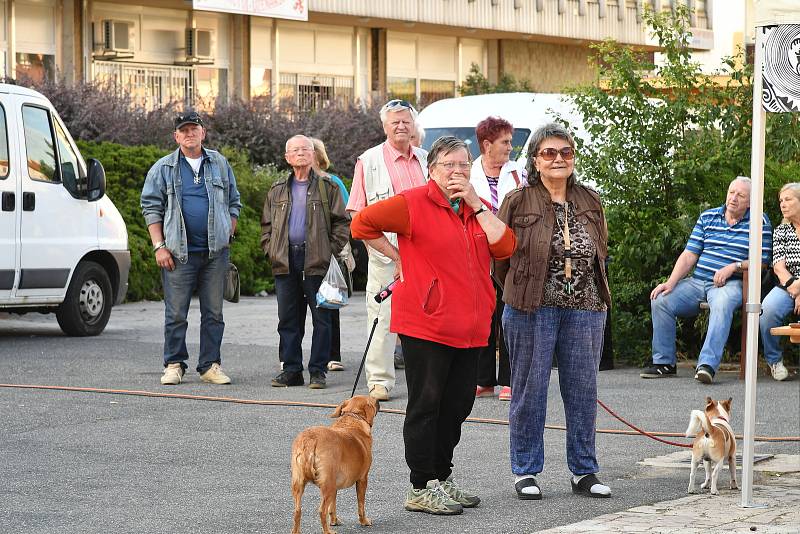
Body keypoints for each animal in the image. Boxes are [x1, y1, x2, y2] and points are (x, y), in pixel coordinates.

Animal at [290, 396, 382, 532]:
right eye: (372, 400)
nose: (379, 401)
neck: (352, 419)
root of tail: (311, 440)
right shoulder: (362, 479)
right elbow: (361, 505)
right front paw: (364, 521)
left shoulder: (335, 486)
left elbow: (332, 505)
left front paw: (334, 521)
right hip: (327, 485)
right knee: (321, 510)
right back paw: (328, 531)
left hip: (300, 483)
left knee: (297, 511)